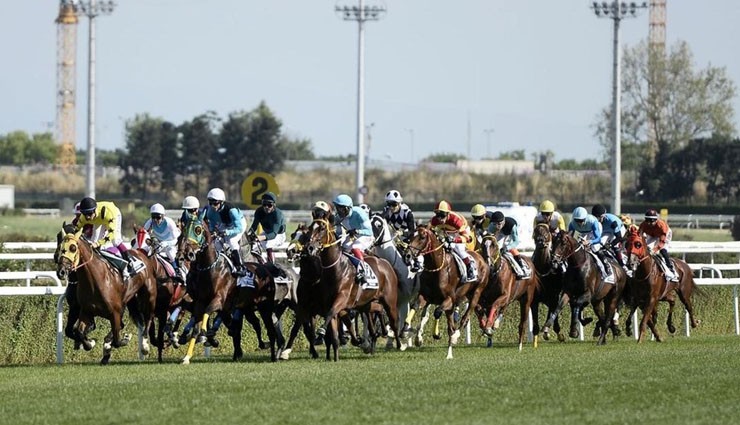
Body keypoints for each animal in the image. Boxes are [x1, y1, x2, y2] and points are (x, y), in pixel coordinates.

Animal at [56, 232, 158, 364]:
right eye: (60, 247)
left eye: (73, 248)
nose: (61, 272)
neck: (95, 281)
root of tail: (141, 252)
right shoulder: (86, 311)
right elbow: (79, 332)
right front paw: (91, 343)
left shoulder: (115, 312)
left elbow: (118, 340)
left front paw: (124, 338)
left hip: (149, 294)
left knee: (148, 317)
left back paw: (144, 345)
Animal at [302, 219, 404, 362]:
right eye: (311, 228)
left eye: (322, 229)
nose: (309, 248)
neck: (336, 268)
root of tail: (386, 263)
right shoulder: (330, 303)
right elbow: (332, 322)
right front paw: (335, 354)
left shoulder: (342, 298)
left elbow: (331, 314)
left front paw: (320, 334)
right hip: (366, 303)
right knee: (376, 309)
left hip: (389, 301)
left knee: (394, 321)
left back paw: (400, 344)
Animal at [402, 222, 488, 358]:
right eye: (410, 236)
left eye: (422, 237)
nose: (407, 256)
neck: (436, 268)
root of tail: (480, 258)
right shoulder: (425, 296)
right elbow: (415, 306)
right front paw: (406, 331)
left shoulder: (449, 298)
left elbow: (437, 312)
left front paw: (437, 333)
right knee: (452, 321)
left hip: (476, 292)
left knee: (466, 315)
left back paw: (455, 337)